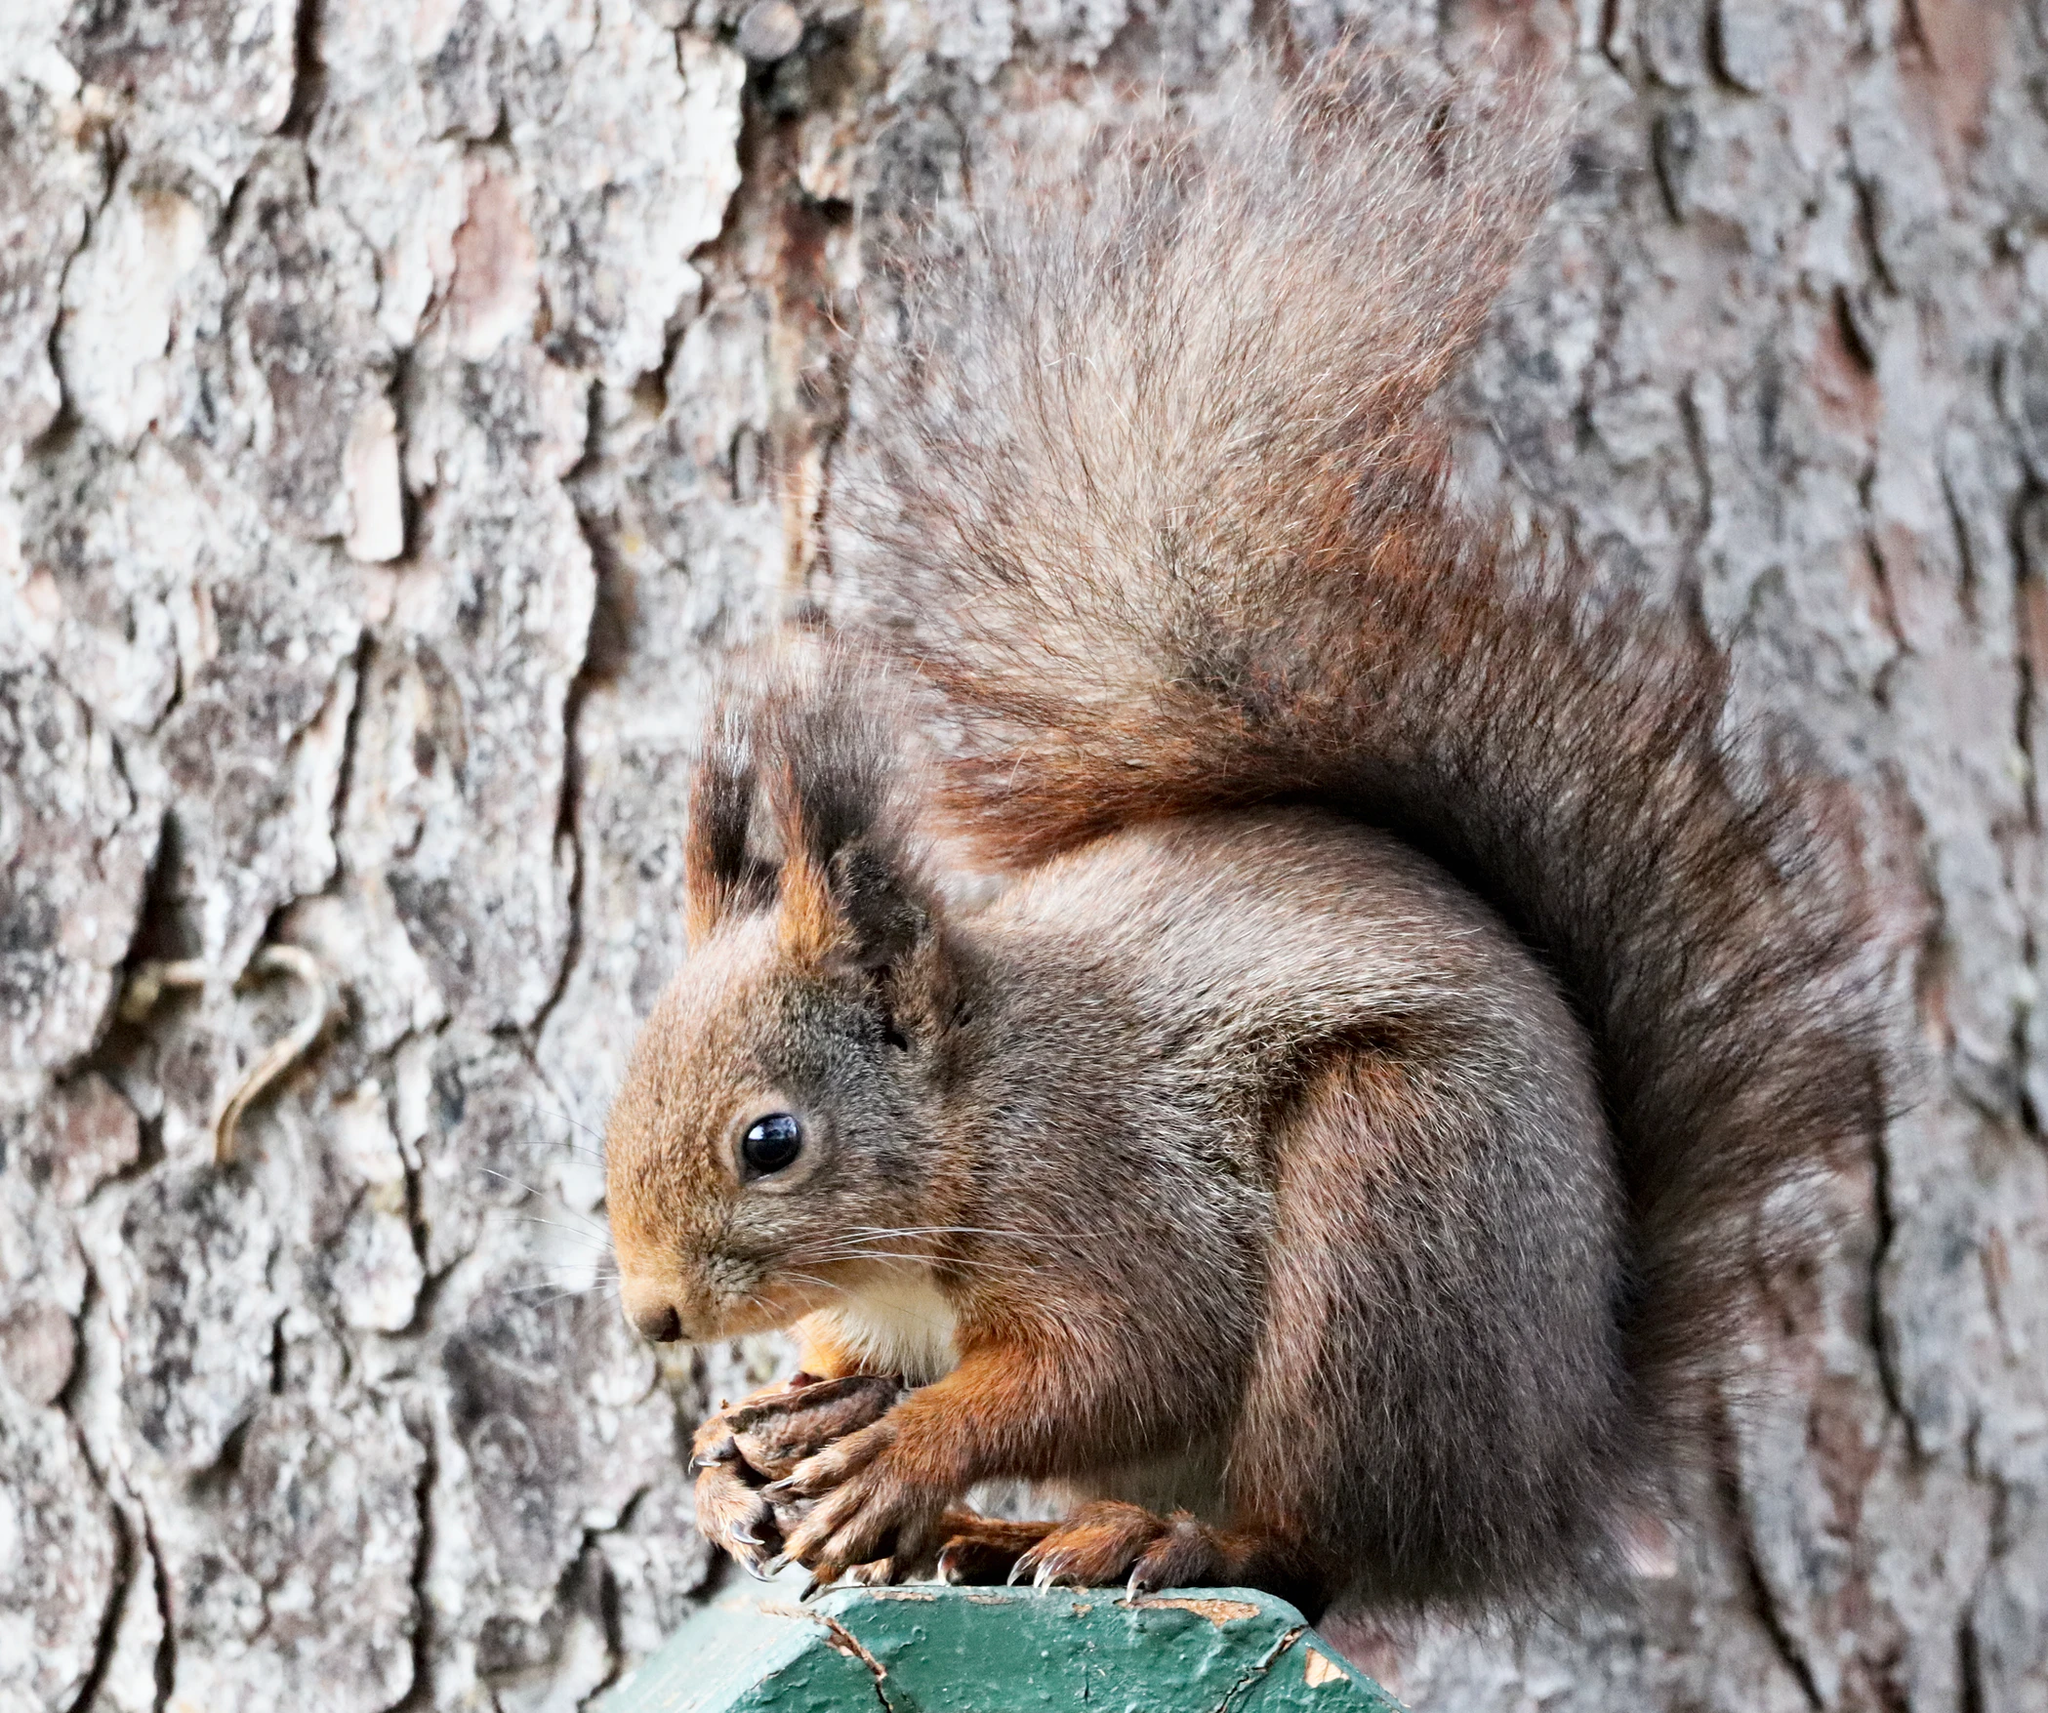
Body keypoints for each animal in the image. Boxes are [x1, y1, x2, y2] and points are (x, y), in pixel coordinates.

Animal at [598, 50, 1884, 1622]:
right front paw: (750, 1445)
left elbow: (1125, 1359)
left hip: (1391, 1228)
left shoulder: (1113, 1200)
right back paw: (1010, 1537)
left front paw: (903, 1454)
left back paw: (1161, 1542)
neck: (977, 1105)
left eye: (772, 1141)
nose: (656, 1316)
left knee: (1309, 1540)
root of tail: (1548, 1461)